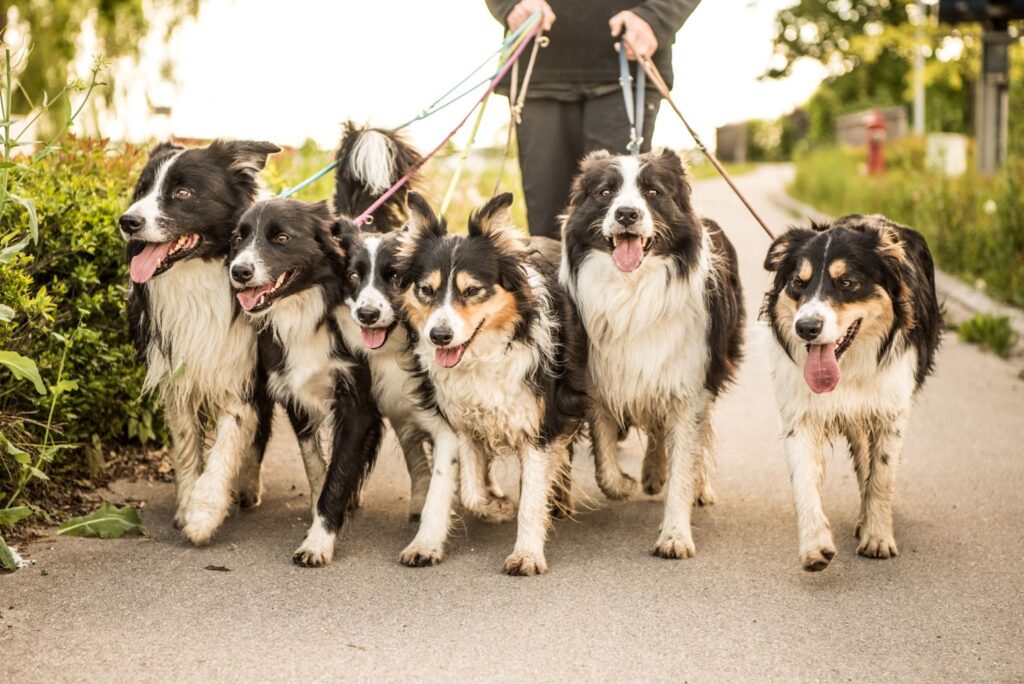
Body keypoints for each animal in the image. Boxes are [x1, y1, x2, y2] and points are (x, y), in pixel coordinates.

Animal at [119, 139, 280, 544]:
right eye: (142, 189)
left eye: (183, 193)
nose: (127, 222)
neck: (200, 275)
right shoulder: (178, 376)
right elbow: (187, 444)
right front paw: (187, 502)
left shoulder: (242, 373)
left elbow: (229, 440)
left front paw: (203, 514)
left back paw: (248, 486)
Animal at [393, 192, 589, 577]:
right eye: (426, 290)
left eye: (472, 290)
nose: (439, 336)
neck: (484, 355)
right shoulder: (456, 421)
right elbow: (465, 489)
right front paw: (488, 510)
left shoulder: (541, 423)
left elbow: (531, 497)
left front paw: (526, 553)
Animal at [561, 149, 745, 561]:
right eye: (606, 191)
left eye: (653, 191)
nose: (627, 214)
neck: (633, 290)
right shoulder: (599, 381)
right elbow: (604, 460)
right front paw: (624, 485)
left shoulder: (689, 385)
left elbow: (684, 462)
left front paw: (675, 534)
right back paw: (650, 473)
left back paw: (696, 486)